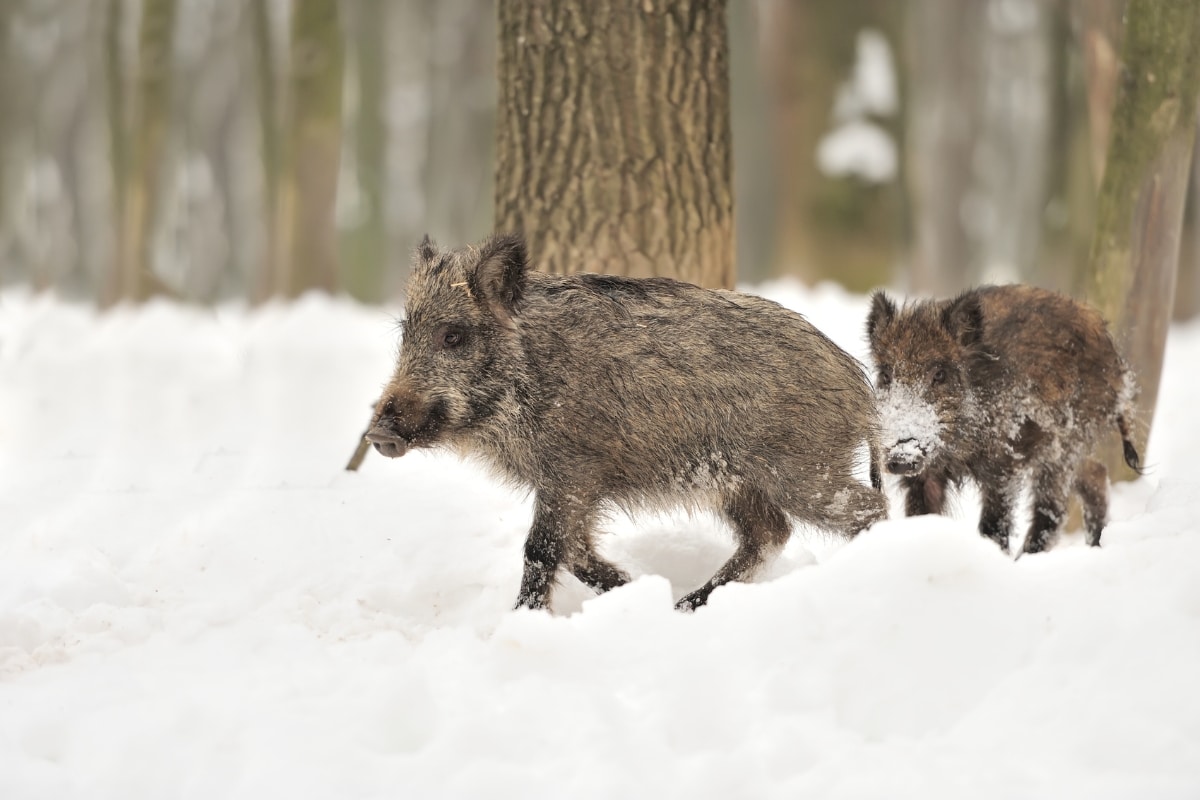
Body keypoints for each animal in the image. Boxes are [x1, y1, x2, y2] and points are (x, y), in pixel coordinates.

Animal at [367, 233, 887, 611]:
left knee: (866, 510)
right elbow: (574, 551)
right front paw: (634, 588)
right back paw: (683, 605)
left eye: (453, 335)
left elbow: (542, 548)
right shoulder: (574, 485)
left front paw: (519, 621)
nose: (377, 432)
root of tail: (860, 386)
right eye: (405, 332)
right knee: (769, 533)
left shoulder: (572, 472)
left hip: (801, 469)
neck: (532, 376)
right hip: (737, 481)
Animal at [865, 284, 1141, 555]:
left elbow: (994, 522)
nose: (900, 457)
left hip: (1065, 443)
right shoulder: (925, 475)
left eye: (940, 374)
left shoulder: (1003, 462)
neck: (957, 450)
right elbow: (921, 515)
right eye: (886, 375)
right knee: (1096, 475)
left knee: (1052, 509)